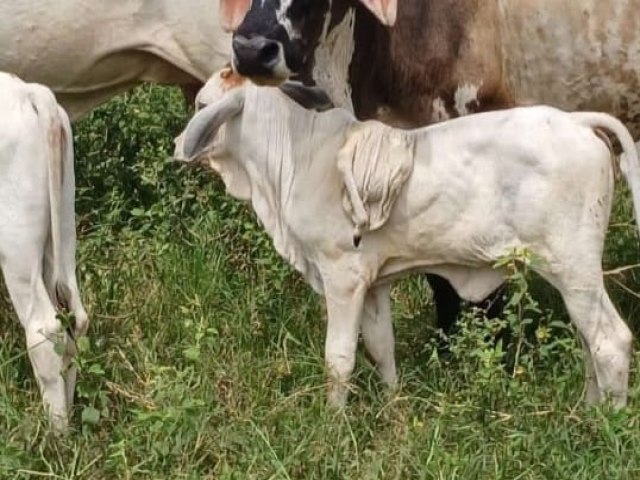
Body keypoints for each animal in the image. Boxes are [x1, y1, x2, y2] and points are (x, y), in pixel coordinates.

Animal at [174, 68, 636, 408]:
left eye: (201, 105)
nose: (179, 143)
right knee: (588, 341)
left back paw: (606, 424)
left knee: (610, 341)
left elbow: (338, 359)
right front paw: (393, 405)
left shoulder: (341, 276)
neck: (298, 155)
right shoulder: (374, 283)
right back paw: (586, 410)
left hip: (574, 267)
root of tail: (576, 120)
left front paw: (334, 420)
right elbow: (382, 347)